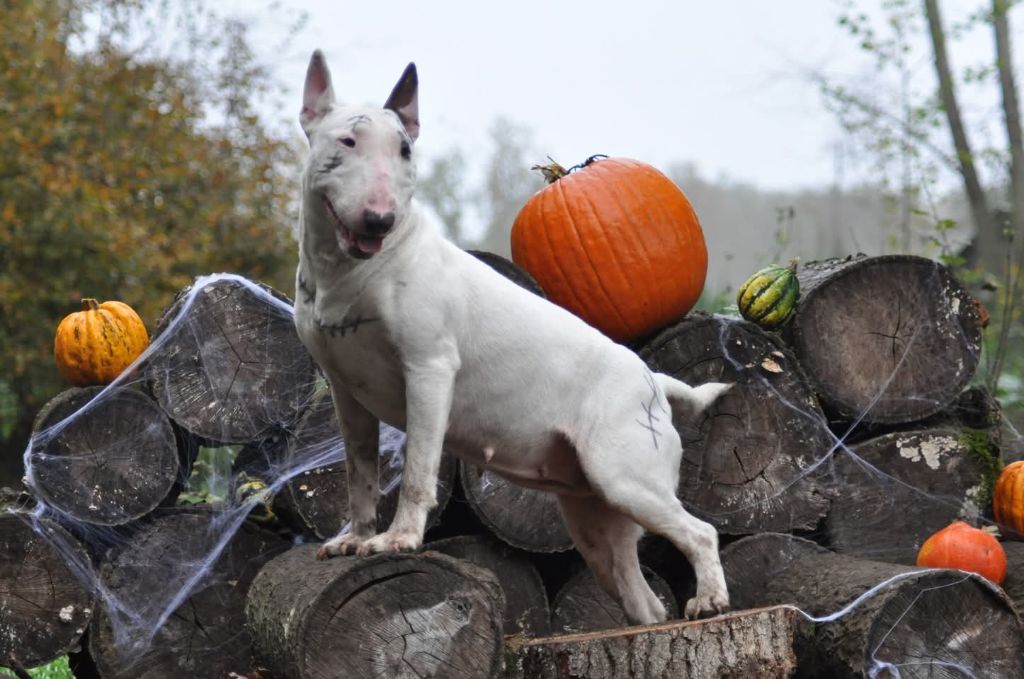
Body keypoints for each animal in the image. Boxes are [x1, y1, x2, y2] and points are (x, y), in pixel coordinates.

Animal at [292, 50, 730, 623]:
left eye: (405, 149)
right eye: (347, 141)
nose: (379, 219)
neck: (352, 272)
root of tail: (653, 381)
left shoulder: (429, 370)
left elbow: (417, 469)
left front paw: (399, 540)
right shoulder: (348, 393)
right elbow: (359, 474)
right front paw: (355, 538)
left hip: (626, 476)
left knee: (700, 532)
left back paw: (710, 599)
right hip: (593, 515)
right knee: (641, 597)